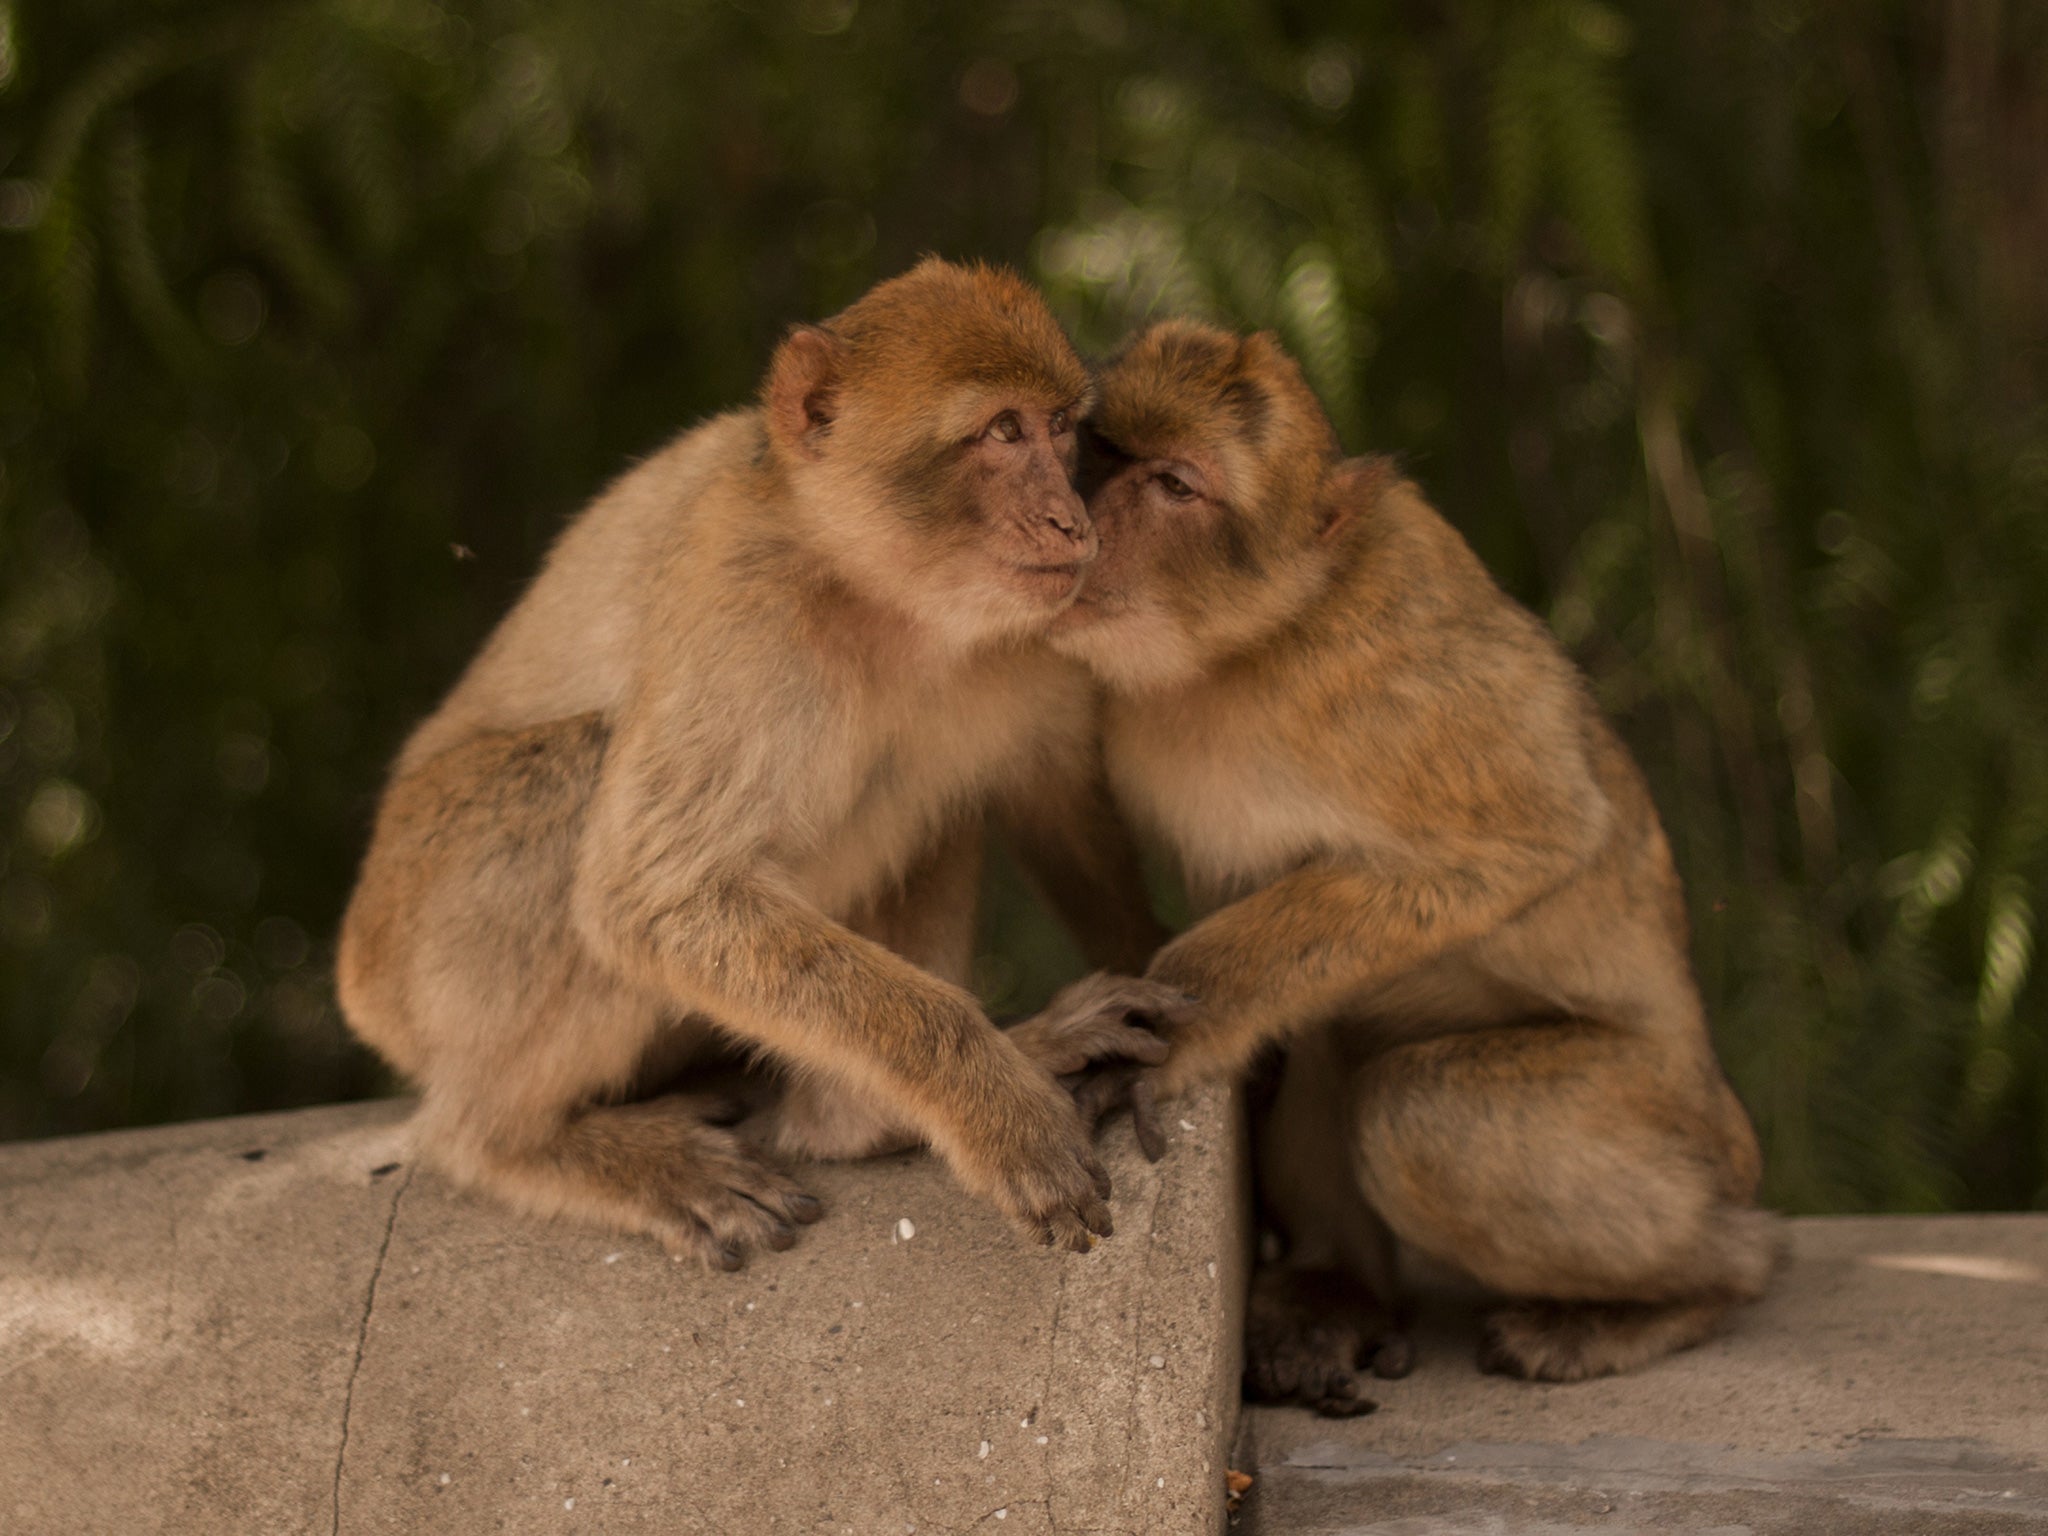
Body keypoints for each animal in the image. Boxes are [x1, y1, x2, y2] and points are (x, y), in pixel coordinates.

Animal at [333, 262, 1171, 1277]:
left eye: (1057, 428)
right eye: (1002, 432)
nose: (1072, 519)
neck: (881, 596)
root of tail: (360, 981)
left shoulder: (1045, 626)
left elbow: (1057, 801)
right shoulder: (743, 607)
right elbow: (658, 899)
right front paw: (997, 1107)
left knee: (928, 788)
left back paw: (860, 1117)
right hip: (428, 944)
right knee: (580, 773)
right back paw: (517, 1143)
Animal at [1032, 321, 1785, 1392]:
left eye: (1176, 484)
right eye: (1101, 448)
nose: (1081, 516)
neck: (1241, 649)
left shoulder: (1387, 667)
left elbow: (1537, 832)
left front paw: (1166, 1024)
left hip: (1671, 1122)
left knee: (1415, 1114)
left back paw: (1689, 1293)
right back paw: (1337, 1288)